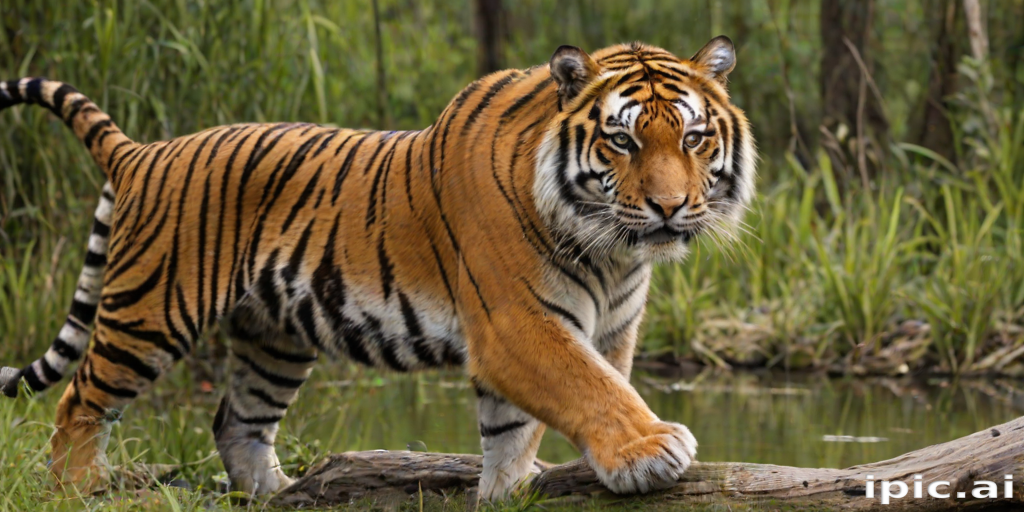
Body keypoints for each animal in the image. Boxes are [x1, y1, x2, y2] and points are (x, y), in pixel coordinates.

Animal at [0, 36, 755, 499]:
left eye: (693, 137)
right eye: (623, 142)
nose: (669, 207)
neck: (609, 248)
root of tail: (139, 151)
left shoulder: (610, 328)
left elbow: (525, 422)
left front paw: (510, 489)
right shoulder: (516, 322)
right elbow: (593, 391)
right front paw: (649, 449)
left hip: (273, 338)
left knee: (237, 423)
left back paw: (285, 496)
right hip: (151, 312)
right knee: (78, 401)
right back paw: (75, 492)